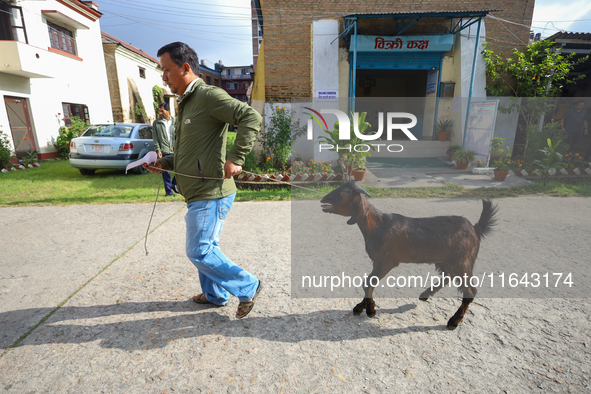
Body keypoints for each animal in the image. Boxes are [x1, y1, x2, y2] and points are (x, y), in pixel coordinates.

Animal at [322, 182, 498, 330]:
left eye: (342, 193)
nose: (323, 200)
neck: (378, 225)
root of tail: (476, 228)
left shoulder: (387, 261)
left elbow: (368, 283)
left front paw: (370, 310)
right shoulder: (377, 261)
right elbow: (368, 283)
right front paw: (361, 306)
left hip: (462, 261)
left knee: (470, 291)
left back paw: (454, 321)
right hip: (446, 259)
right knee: (448, 275)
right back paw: (426, 294)